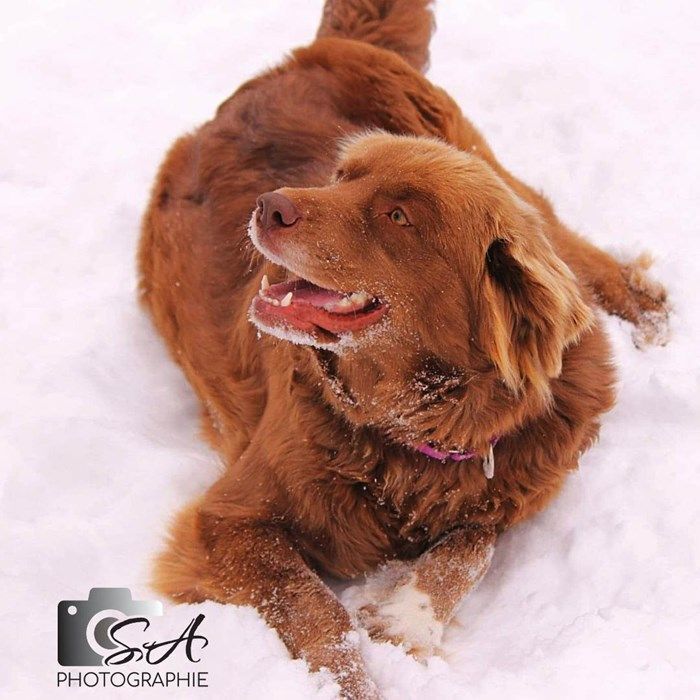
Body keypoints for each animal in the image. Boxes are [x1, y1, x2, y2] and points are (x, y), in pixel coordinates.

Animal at [137, 2, 668, 696]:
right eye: (338, 178)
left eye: (398, 217)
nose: (267, 206)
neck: (408, 432)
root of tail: (325, 48)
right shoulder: (229, 520)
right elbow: (317, 610)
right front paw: (357, 676)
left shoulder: (506, 486)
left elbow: (470, 547)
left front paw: (405, 621)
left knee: (578, 256)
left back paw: (651, 317)